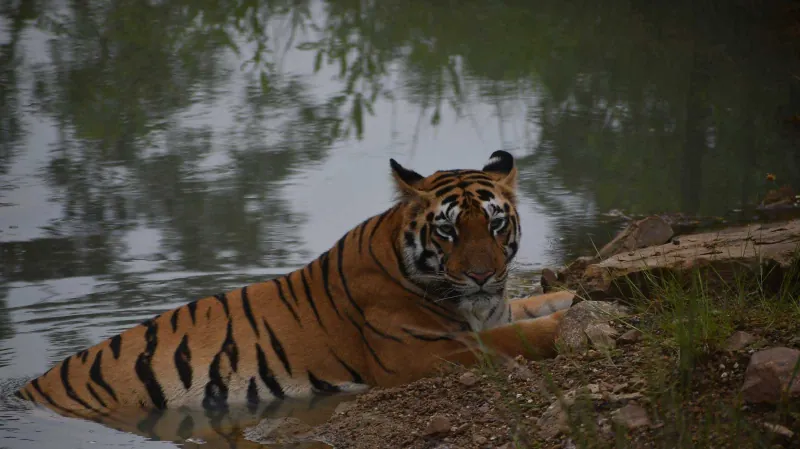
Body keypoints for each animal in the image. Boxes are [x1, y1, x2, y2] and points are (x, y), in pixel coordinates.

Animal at [14, 150, 575, 433]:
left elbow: (532, 306)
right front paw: (565, 326)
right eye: (448, 231)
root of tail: (22, 394)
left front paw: (574, 302)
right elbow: (517, 339)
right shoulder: (420, 354)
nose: (482, 275)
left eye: (496, 224)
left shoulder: (494, 310)